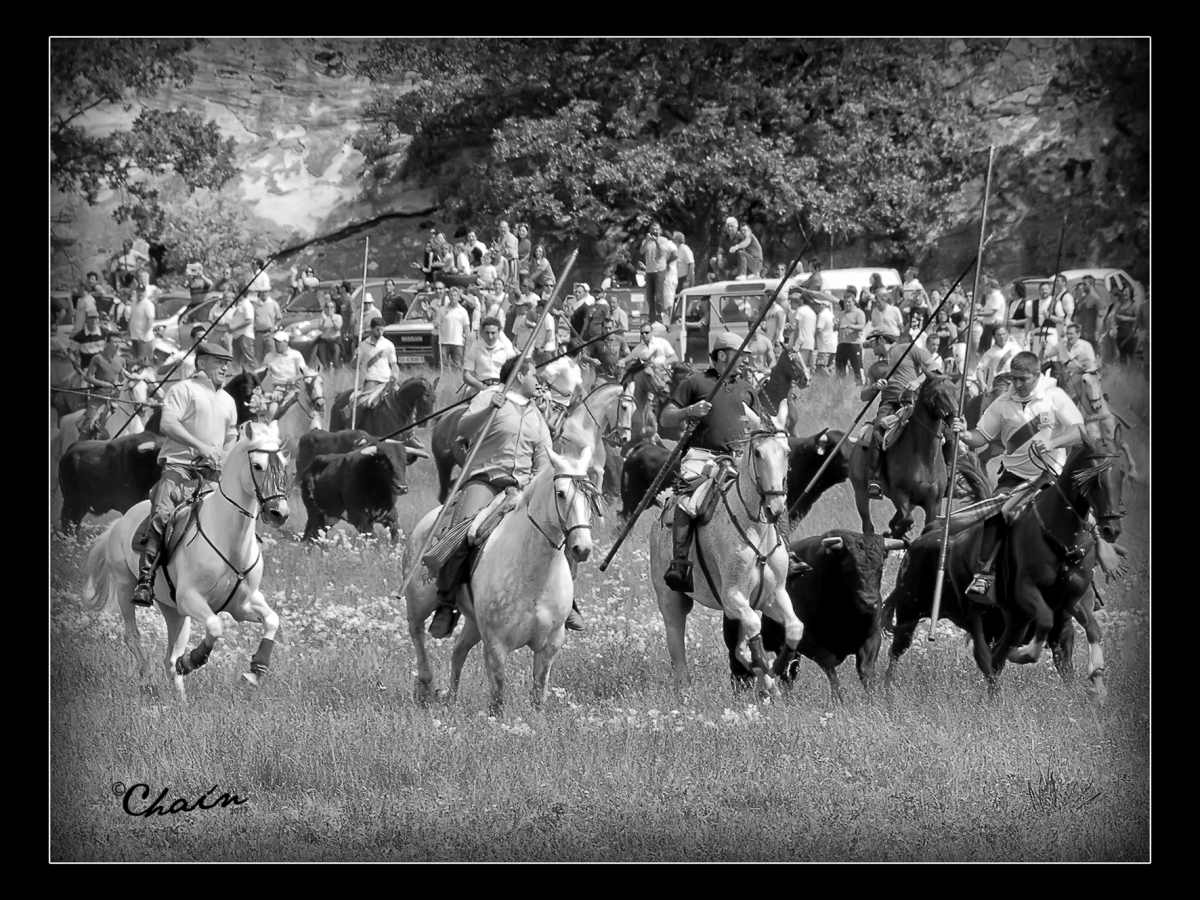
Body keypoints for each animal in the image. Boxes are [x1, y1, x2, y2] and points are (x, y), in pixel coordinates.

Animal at [82, 422, 290, 705]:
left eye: (284, 464)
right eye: (257, 465)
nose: (280, 513)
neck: (228, 540)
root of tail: (119, 523)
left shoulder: (242, 604)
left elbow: (272, 620)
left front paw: (255, 671)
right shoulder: (190, 598)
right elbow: (215, 626)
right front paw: (192, 661)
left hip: (174, 611)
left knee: (170, 654)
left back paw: (181, 700)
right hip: (126, 586)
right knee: (132, 635)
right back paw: (149, 683)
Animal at [408, 448, 600, 715]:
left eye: (590, 497)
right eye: (560, 493)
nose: (582, 548)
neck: (535, 578)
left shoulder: (550, 643)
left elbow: (538, 694)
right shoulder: (496, 644)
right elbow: (498, 696)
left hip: (473, 624)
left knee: (458, 652)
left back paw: (451, 698)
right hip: (419, 604)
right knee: (417, 635)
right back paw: (425, 686)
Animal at [648, 400, 806, 696]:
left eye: (787, 452)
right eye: (758, 452)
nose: (776, 508)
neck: (756, 530)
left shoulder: (772, 596)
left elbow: (794, 628)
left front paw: (774, 671)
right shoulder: (732, 598)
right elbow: (753, 632)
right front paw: (768, 670)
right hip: (671, 600)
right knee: (677, 646)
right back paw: (686, 692)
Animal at [849, 376, 960, 540]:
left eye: (954, 389)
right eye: (937, 392)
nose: (954, 419)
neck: (924, 458)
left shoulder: (934, 503)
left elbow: (926, 524)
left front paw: (896, 532)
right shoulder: (900, 495)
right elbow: (908, 519)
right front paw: (895, 532)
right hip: (860, 493)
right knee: (868, 526)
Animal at [883, 436, 1123, 705]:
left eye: (1121, 474)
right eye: (1094, 475)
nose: (1111, 528)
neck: (1060, 542)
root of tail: (919, 541)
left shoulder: (1072, 604)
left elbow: (1090, 631)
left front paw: (1097, 681)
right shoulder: (1027, 597)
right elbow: (1042, 622)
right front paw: (1023, 655)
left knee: (995, 660)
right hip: (913, 614)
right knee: (903, 652)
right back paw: (885, 691)